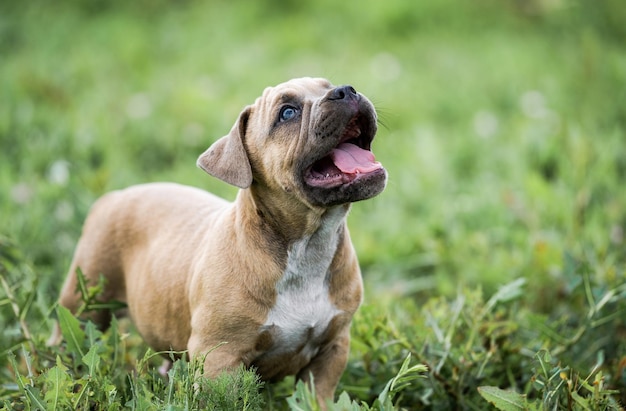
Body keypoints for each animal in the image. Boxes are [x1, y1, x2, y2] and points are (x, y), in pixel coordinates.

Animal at [50, 78, 386, 406]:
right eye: (287, 113)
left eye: (327, 84)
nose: (346, 90)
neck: (308, 245)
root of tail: (113, 197)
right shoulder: (220, 357)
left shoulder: (331, 350)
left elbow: (317, 397)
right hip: (84, 300)